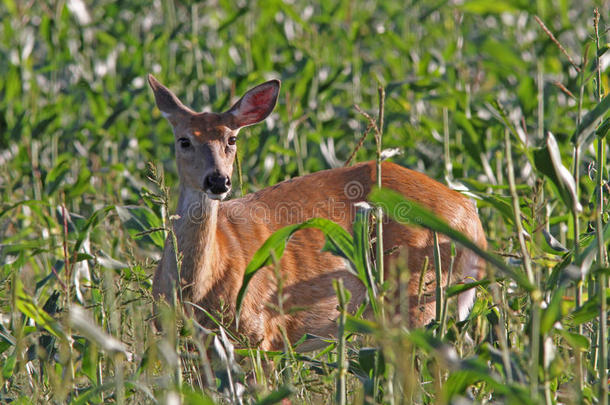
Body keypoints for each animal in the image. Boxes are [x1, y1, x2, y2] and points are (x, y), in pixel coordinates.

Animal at [147, 75, 484, 350]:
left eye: (232, 139)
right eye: (184, 140)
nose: (218, 180)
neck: (198, 289)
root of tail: (470, 215)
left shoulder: (260, 332)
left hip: (417, 294)